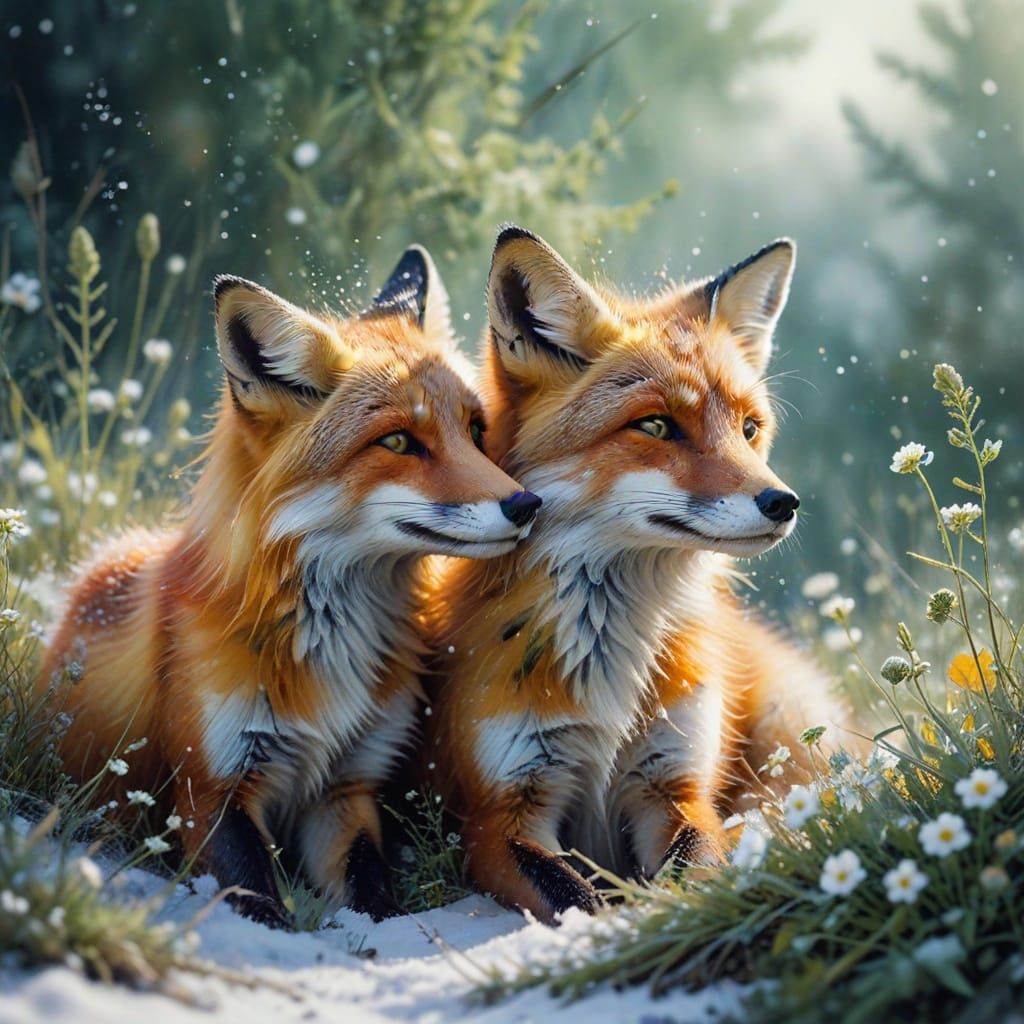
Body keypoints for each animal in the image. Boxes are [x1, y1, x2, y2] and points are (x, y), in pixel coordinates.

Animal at [38, 245, 541, 926]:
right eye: (398, 441)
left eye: (477, 431)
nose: (527, 505)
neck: (333, 648)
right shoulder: (210, 792)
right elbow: (264, 909)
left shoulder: (346, 791)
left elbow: (376, 901)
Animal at [423, 226, 853, 923]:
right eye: (655, 425)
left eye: (749, 429)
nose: (783, 503)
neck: (610, 662)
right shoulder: (499, 814)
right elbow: (575, 896)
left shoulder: (674, 786)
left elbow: (694, 870)